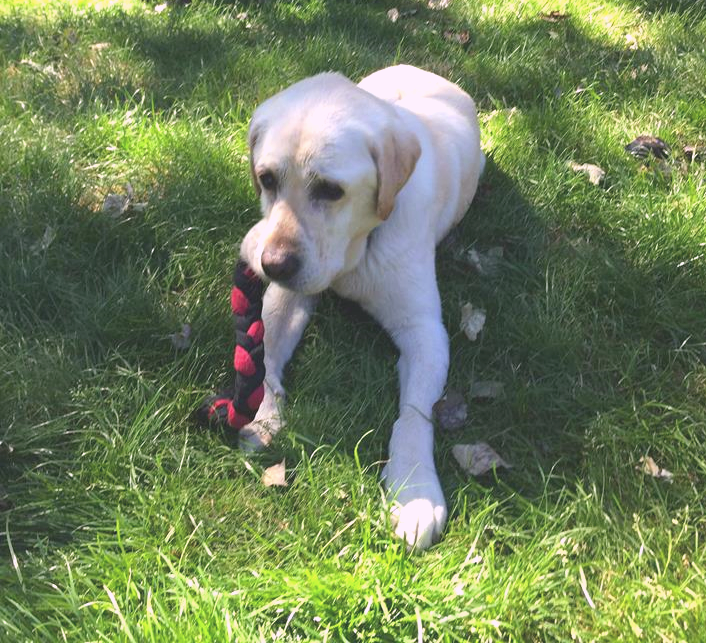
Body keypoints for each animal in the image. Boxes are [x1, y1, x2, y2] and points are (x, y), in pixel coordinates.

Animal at [239, 64, 482, 548]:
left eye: (330, 190)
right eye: (268, 179)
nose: (271, 265)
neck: (355, 252)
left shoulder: (424, 330)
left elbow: (413, 415)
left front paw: (414, 489)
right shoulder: (287, 297)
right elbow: (269, 362)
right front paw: (265, 418)